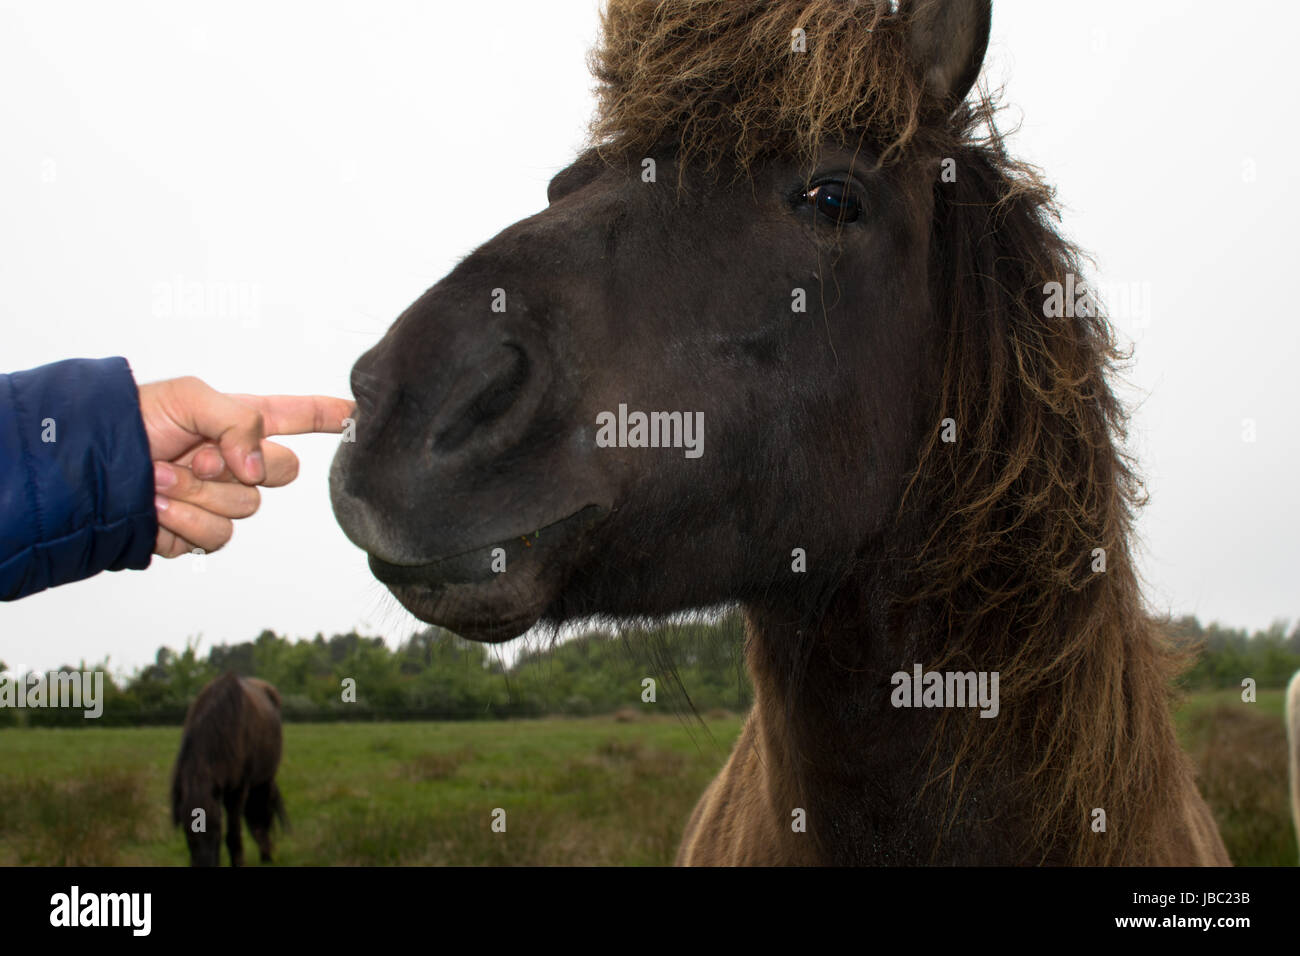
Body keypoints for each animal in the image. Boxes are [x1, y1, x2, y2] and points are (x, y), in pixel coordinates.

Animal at [170, 672, 287, 866]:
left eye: (216, 828)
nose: (205, 864)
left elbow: (233, 834)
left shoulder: (237, 790)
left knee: (262, 813)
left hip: (264, 779)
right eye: (187, 833)